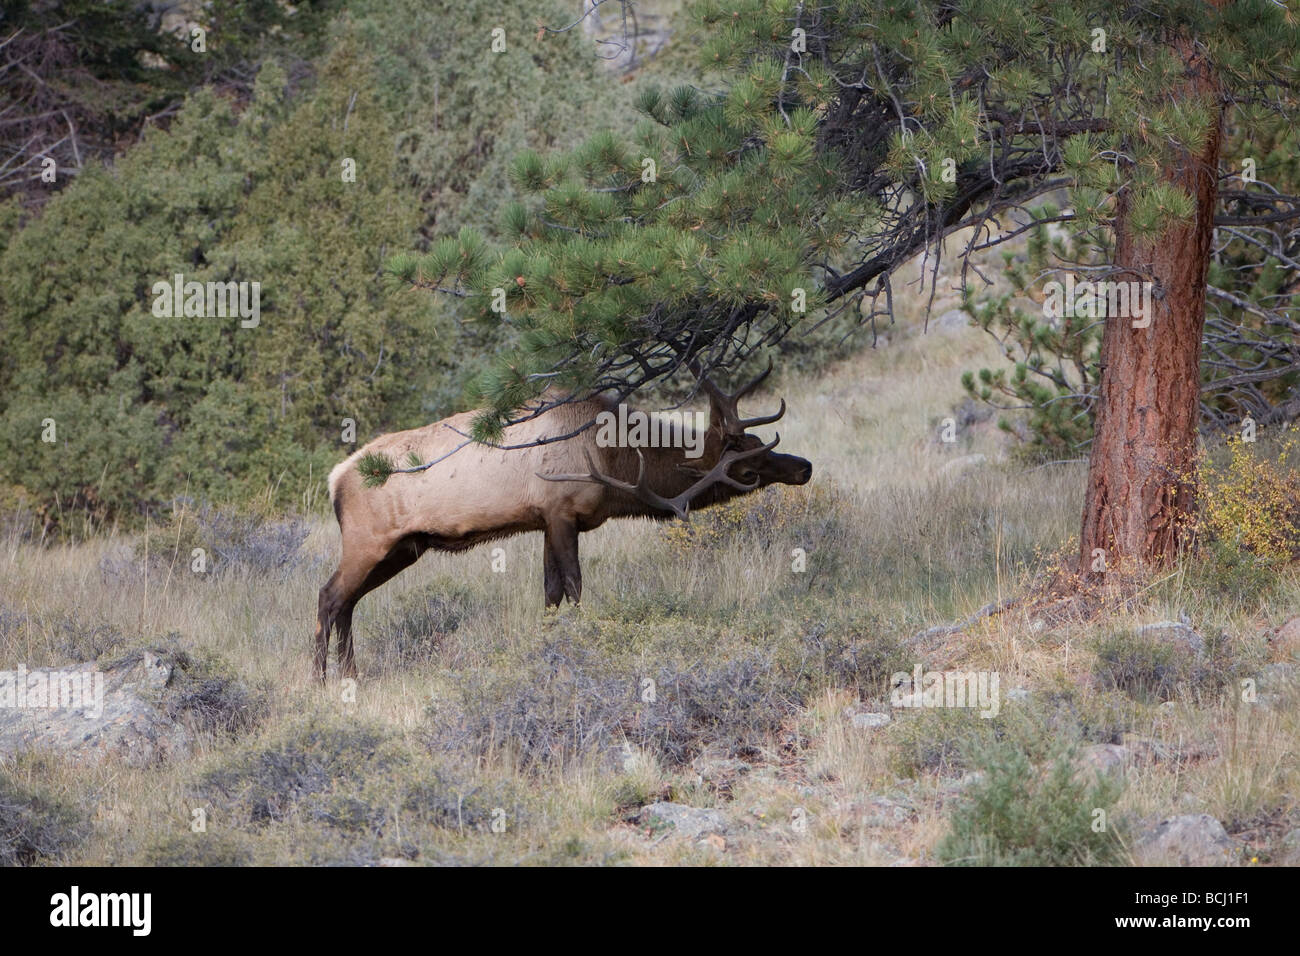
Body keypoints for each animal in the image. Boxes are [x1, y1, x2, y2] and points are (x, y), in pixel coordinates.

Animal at [313, 362, 812, 681]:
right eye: (746, 469)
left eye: (757, 442)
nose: (804, 466)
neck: (611, 458)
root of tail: (335, 479)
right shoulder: (561, 513)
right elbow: (573, 586)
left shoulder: (547, 521)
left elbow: (550, 592)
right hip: (368, 540)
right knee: (330, 596)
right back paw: (320, 678)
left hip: (403, 548)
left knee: (349, 603)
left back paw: (351, 673)